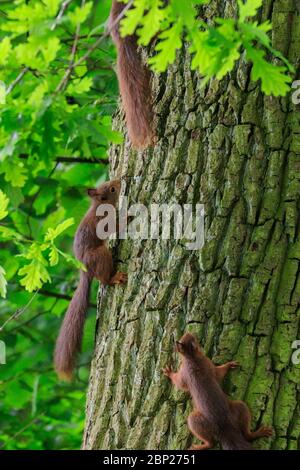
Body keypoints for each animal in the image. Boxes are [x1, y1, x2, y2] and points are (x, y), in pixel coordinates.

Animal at [54, 178, 127, 380]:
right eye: (112, 189)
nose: (120, 179)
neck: (100, 206)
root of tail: (85, 272)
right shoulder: (105, 223)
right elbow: (117, 227)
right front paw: (129, 216)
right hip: (100, 255)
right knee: (104, 279)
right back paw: (114, 278)